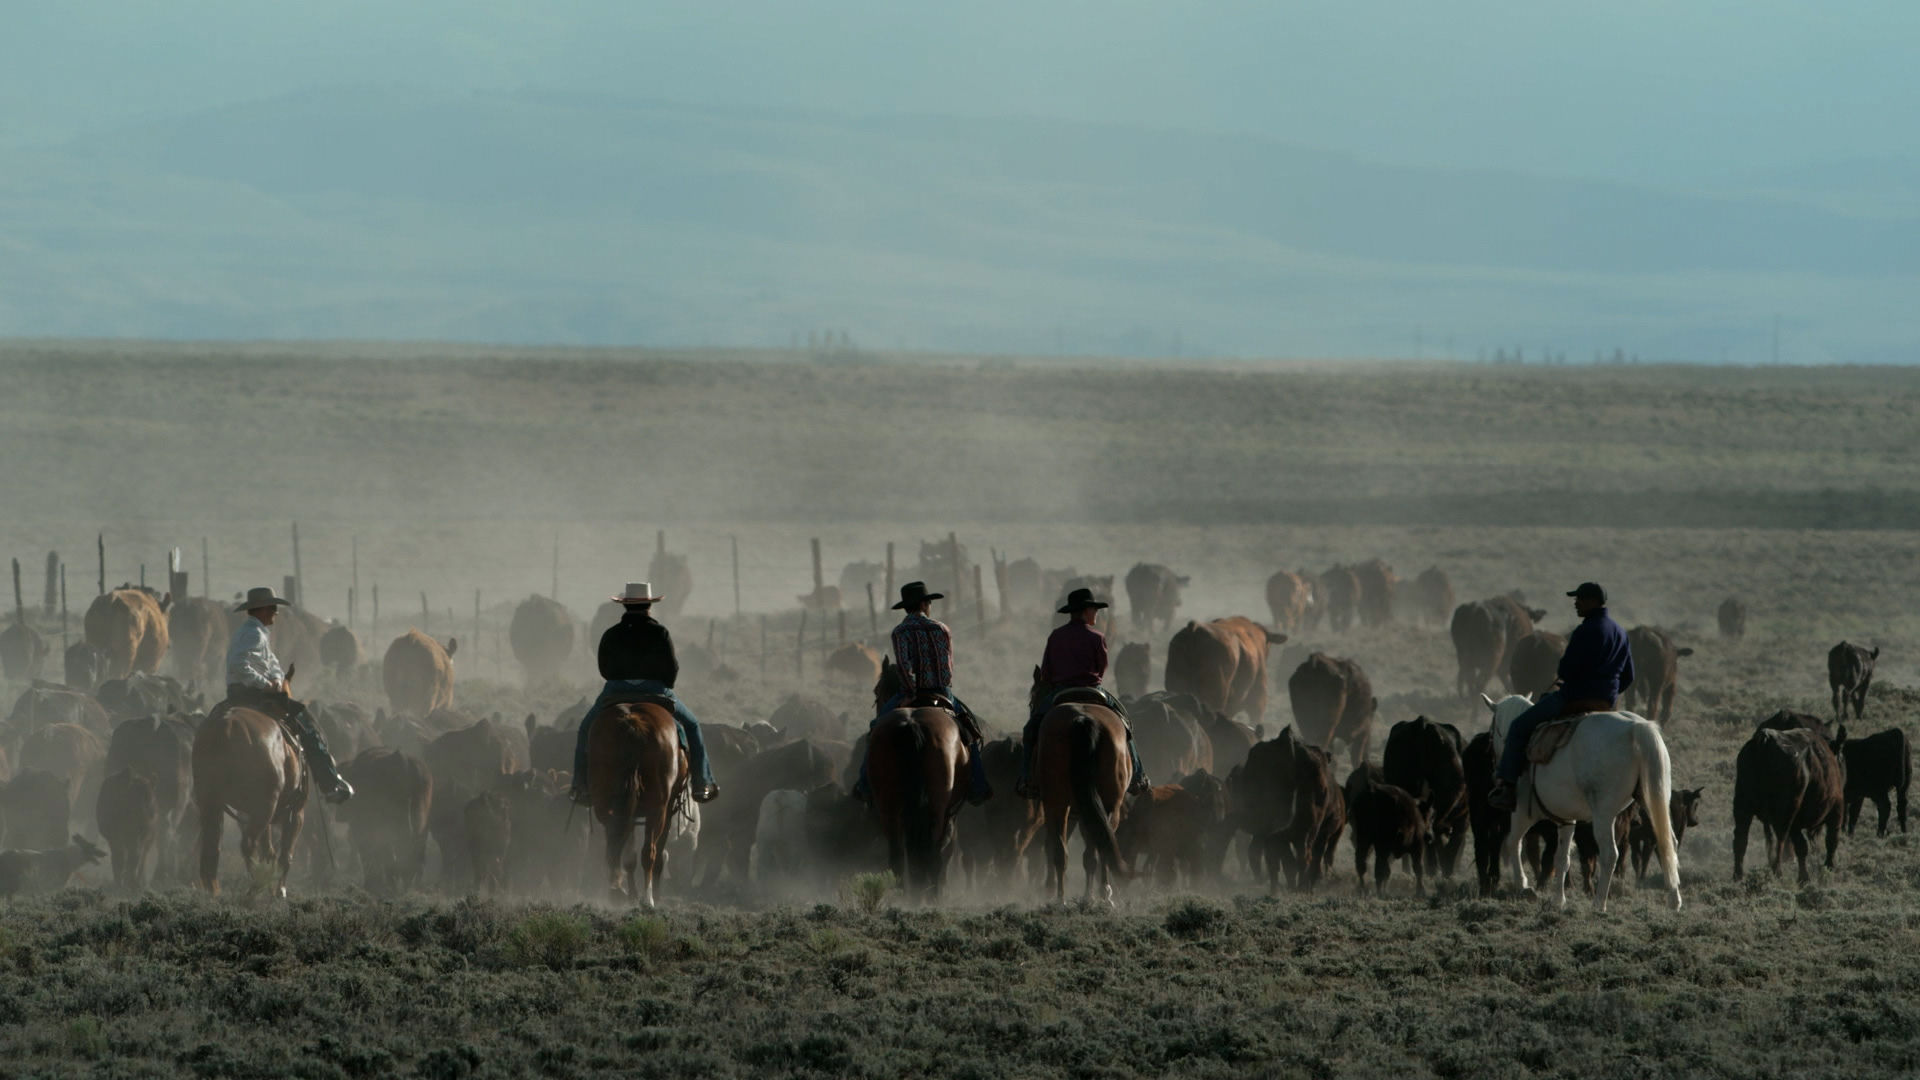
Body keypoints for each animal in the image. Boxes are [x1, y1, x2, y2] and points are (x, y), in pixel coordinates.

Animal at [1235, 726, 1343, 893]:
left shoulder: (1271, 836)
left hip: (1280, 834)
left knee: (1285, 861)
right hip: (1309, 831)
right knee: (1306, 860)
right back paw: (1302, 889)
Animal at [1345, 767, 1429, 897]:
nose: (1430, 835)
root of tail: (1373, 789)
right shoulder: (1417, 845)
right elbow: (1418, 867)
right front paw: (1421, 891)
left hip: (1363, 839)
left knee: (1362, 863)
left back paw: (1363, 889)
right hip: (1381, 844)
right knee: (1378, 867)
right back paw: (1379, 892)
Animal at [1733, 725, 1847, 882]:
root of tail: (1766, 739)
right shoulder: (1837, 808)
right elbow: (1831, 841)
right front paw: (1827, 869)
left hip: (1742, 806)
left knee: (1741, 839)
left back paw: (1738, 876)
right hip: (1785, 812)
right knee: (1780, 840)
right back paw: (1779, 873)